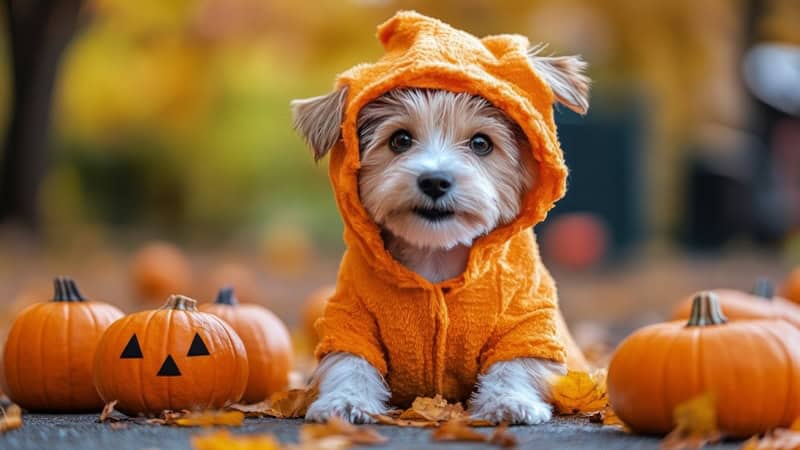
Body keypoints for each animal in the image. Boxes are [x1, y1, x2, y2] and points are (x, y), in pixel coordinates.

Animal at [290, 11, 592, 426]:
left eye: (481, 143)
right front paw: (345, 402)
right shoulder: (349, 319)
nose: (435, 180)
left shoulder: (528, 321)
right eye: (400, 140)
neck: (435, 257)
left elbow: (516, 364)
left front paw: (508, 401)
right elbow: (349, 363)